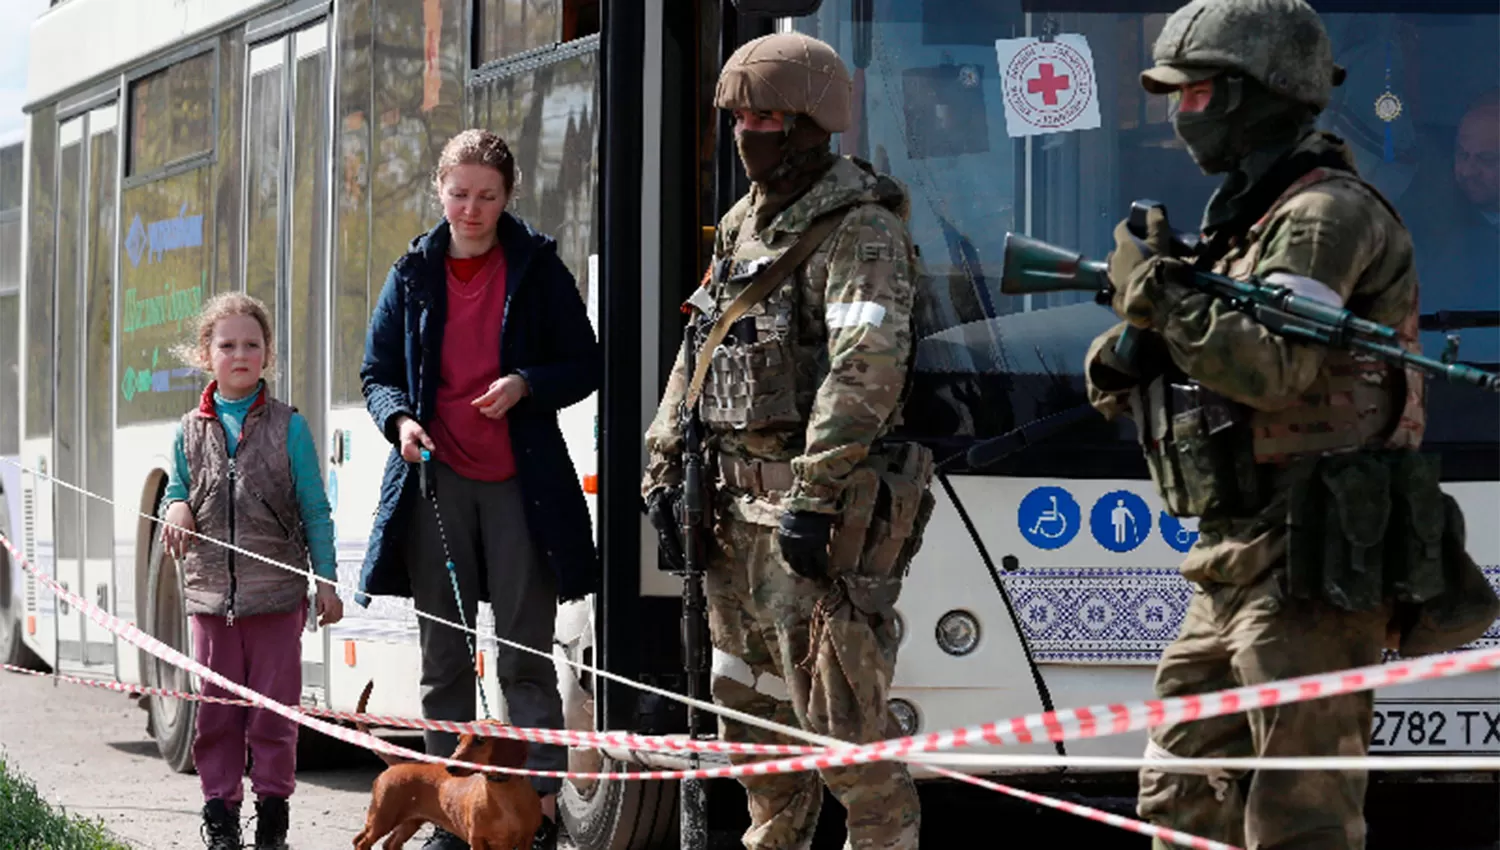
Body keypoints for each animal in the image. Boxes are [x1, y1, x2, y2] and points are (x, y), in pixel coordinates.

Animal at [348, 680, 543, 850]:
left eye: (480, 740)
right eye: (459, 739)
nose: (450, 767)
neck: (502, 793)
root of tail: (398, 764)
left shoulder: (526, 839)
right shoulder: (477, 839)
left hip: (410, 821)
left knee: (390, 843)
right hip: (382, 817)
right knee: (361, 841)